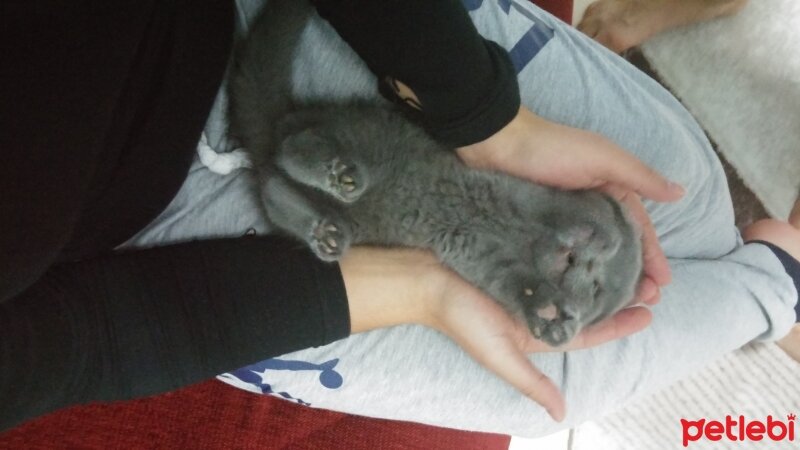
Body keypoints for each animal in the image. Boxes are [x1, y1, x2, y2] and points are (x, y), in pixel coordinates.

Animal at [227, 0, 644, 346]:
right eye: (596, 284)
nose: (579, 264)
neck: (525, 244)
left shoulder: (494, 266)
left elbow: (514, 285)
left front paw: (549, 319)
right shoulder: (533, 194)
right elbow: (576, 211)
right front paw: (592, 237)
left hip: (349, 214)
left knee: (276, 189)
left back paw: (327, 233)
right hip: (365, 134)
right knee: (297, 145)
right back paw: (341, 174)